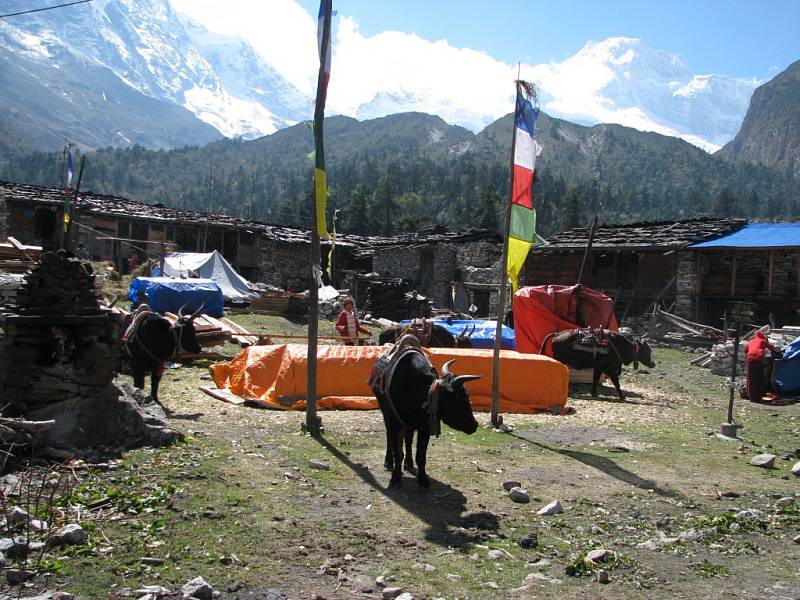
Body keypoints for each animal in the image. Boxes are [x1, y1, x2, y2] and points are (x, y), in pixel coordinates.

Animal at [370, 350, 478, 490]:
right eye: (461, 397)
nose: (474, 425)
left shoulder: (425, 427)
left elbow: (421, 456)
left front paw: (423, 480)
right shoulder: (394, 421)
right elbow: (398, 453)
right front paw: (395, 478)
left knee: (408, 438)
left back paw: (409, 463)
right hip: (385, 412)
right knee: (390, 436)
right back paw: (388, 461)